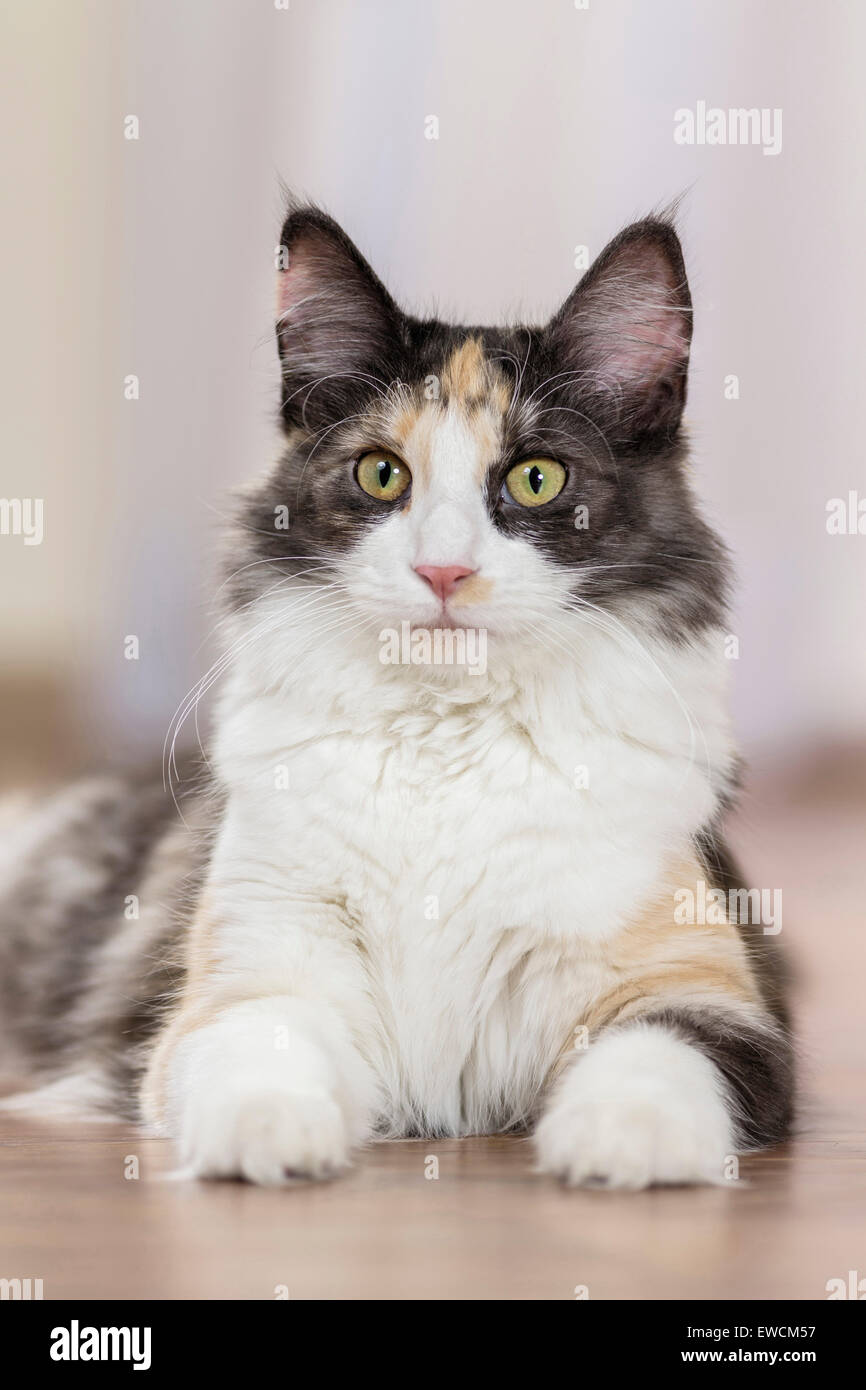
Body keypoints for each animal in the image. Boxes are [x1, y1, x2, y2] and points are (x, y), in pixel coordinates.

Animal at [0, 202, 795, 1184]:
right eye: (381, 474)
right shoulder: (245, 979)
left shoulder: (708, 992)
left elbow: (655, 1058)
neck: (443, 746)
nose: (443, 570)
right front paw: (270, 1138)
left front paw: (620, 1144)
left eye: (537, 479)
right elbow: (261, 1050)